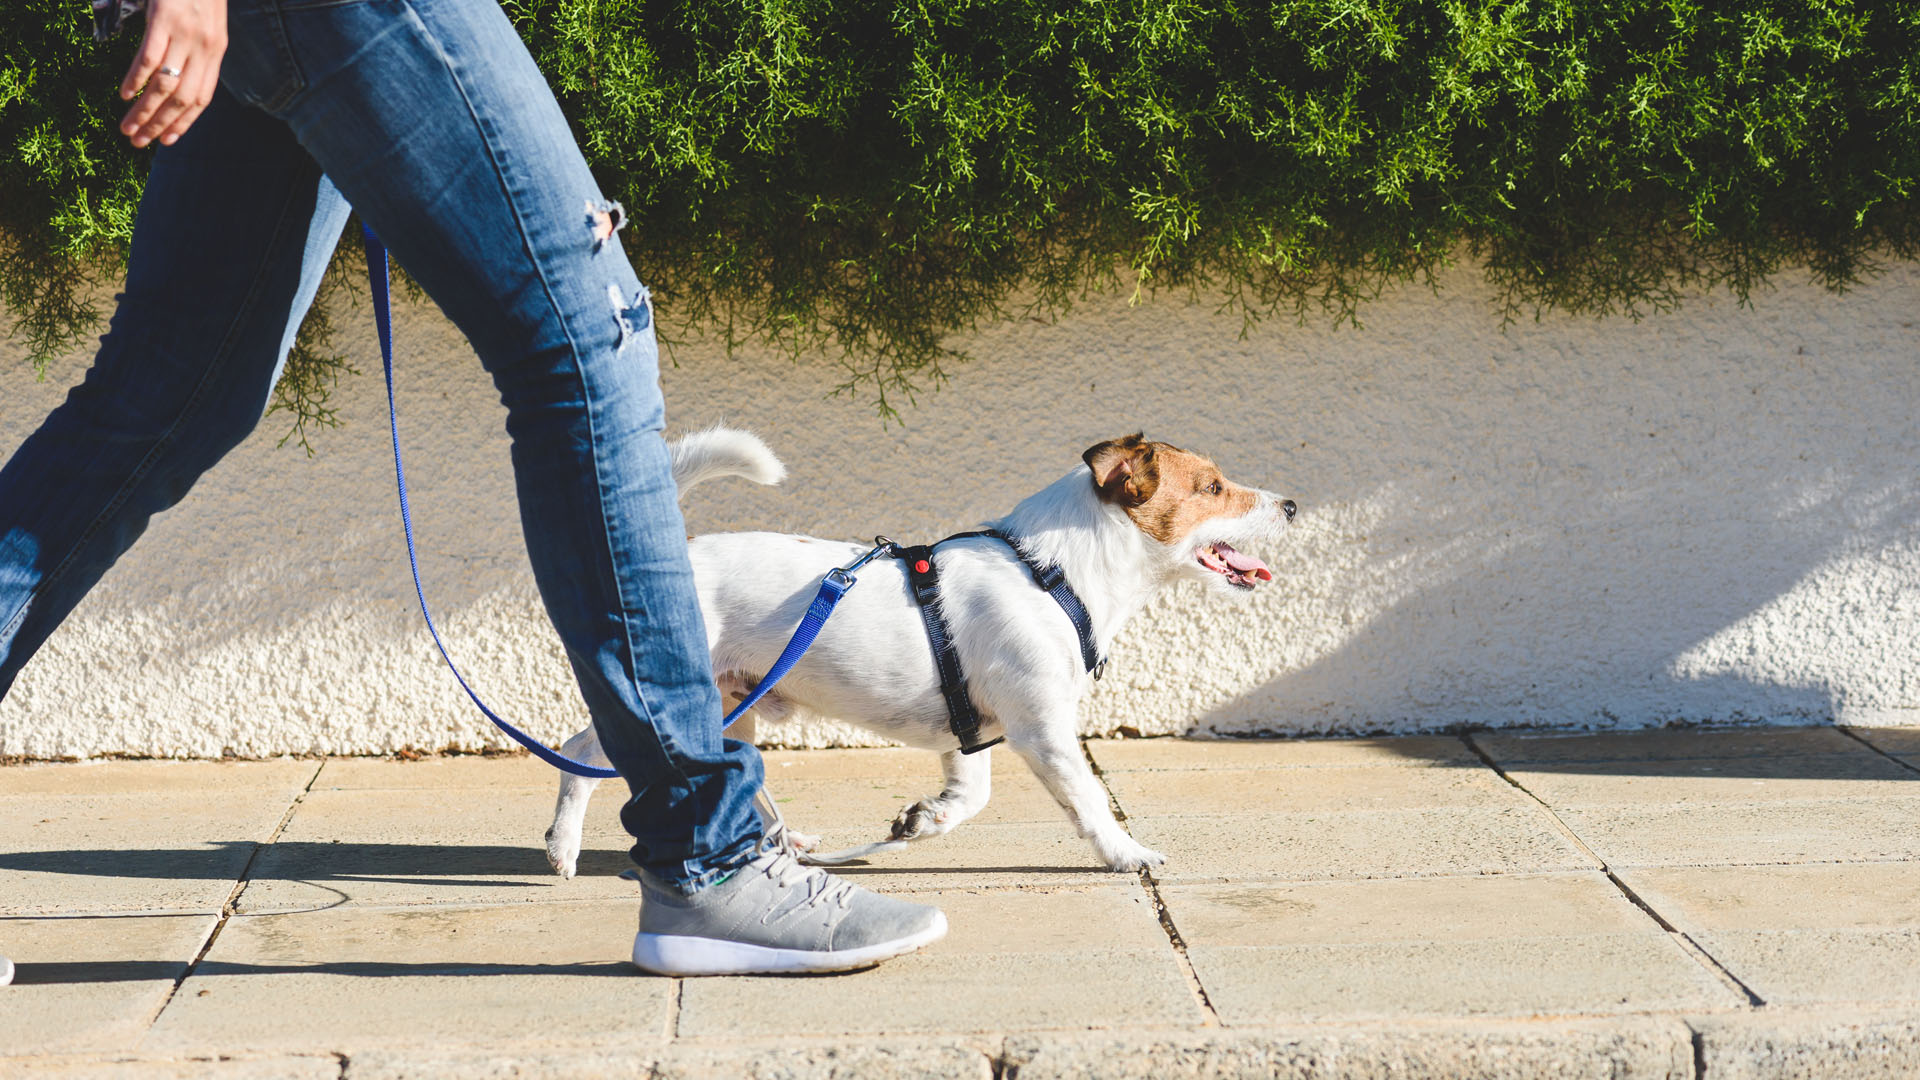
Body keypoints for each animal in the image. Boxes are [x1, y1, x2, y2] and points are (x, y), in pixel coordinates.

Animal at [541, 424, 1290, 868]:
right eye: (1213, 487)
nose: (1290, 506)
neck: (1054, 573)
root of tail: (676, 556)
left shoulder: (974, 732)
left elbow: (970, 796)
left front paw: (923, 821)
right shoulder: (1043, 730)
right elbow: (1088, 801)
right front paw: (1126, 852)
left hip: (734, 705)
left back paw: (788, 843)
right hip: (672, 698)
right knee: (581, 753)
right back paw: (563, 847)